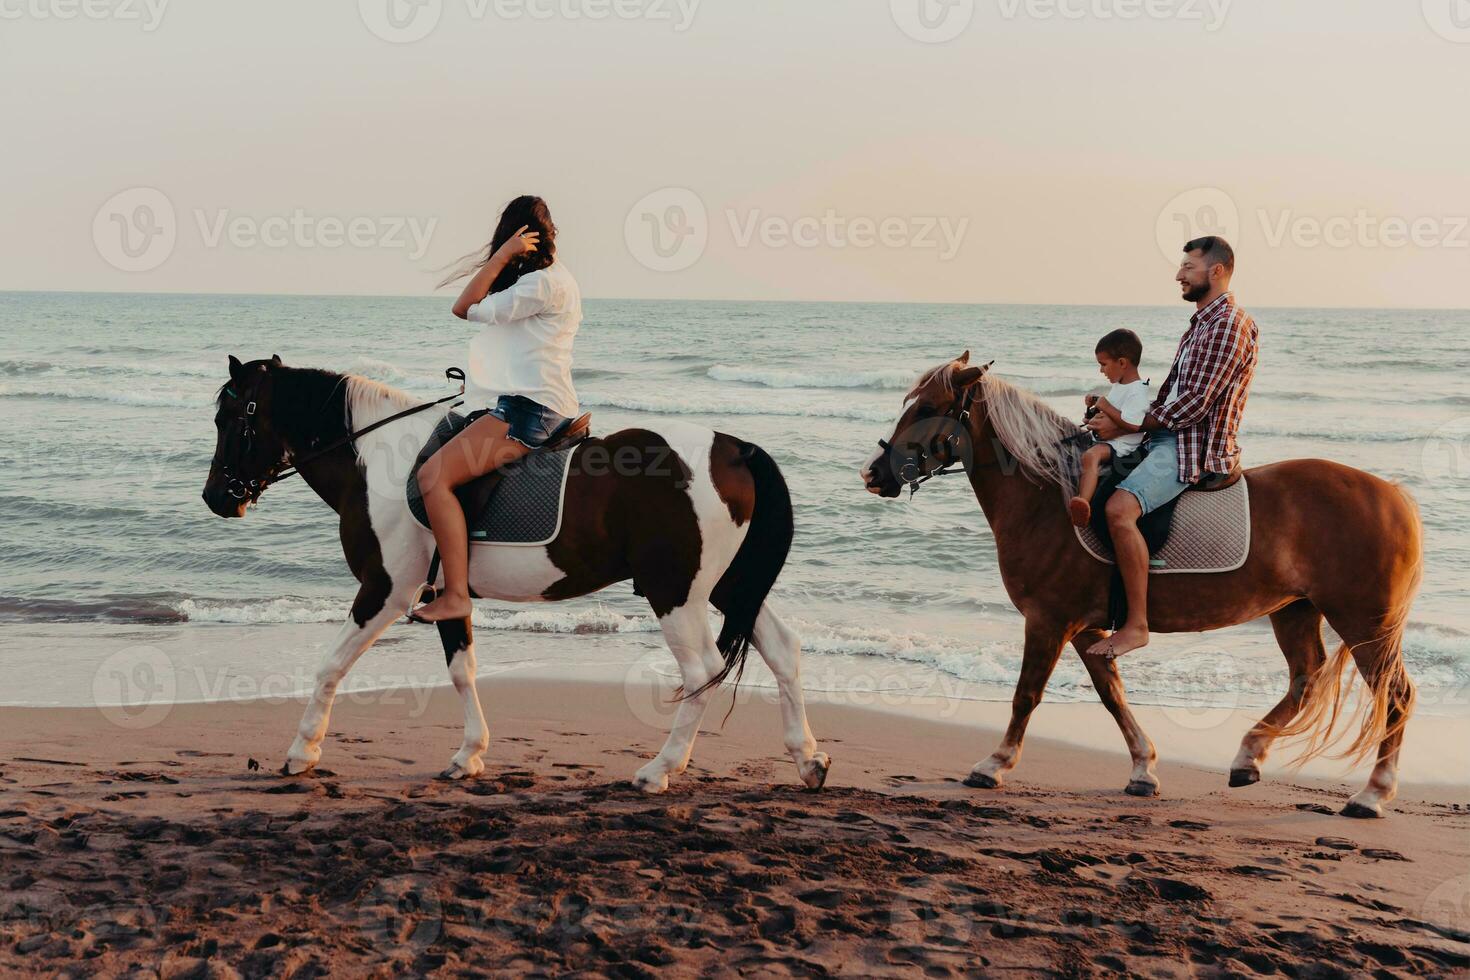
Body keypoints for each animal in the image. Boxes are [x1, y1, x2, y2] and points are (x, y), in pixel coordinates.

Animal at [201, 357, 834, 793]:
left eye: (229, 417)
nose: (215, 498)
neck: (378, 458)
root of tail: (734, 449)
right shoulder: (445, 596)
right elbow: (462, 671)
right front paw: (469, 755)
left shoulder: (385, 591)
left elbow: (330, 666)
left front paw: (301, 752)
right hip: (728, 586)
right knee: (782, 649)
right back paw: (808, 760)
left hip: (676, 592)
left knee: (701, 671)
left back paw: (659, 770)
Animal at [858, 352, 1422, 822]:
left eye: (927, 407)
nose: (873, 473)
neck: (1050, 500)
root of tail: (1393, 495)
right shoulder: (1087, 630)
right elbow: (1112, 695)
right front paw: (1143, 769)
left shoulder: (1048, 621)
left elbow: (1027, 695)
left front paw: (993, 764)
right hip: (1296, 609)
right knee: (1306, 677)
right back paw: (1249, 756)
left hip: (1362, 620)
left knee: (1394, 694)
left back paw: (1371, 794)